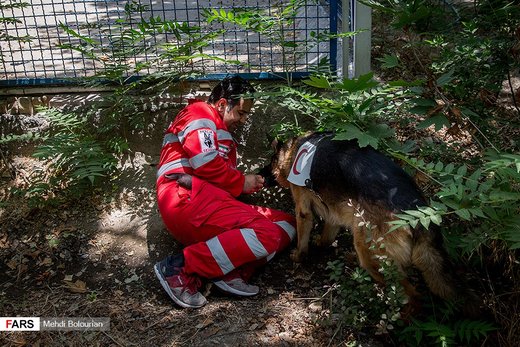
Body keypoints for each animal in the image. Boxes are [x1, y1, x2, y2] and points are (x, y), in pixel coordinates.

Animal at [262, 132, 474, 308]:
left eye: (270, 162)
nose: (260, 176)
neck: (294, 149)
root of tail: (417, 214)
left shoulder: (303, 209)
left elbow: (302, 237)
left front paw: (298, 255)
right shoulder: (333, 212)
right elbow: (328, 234)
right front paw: (321, 243)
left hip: (370, 253)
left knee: (412, 295)